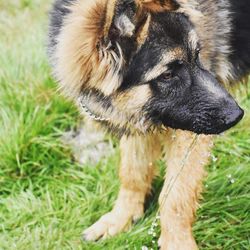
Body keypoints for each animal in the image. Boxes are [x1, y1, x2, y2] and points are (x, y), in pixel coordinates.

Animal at [47, 0, 249, 249]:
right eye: (167, 74)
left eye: (197, 55)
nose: (237, 115)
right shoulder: (137, 121)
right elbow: (132, 172)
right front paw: (121, 217)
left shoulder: (190, 134)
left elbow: (176, 193)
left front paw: (177, 241)